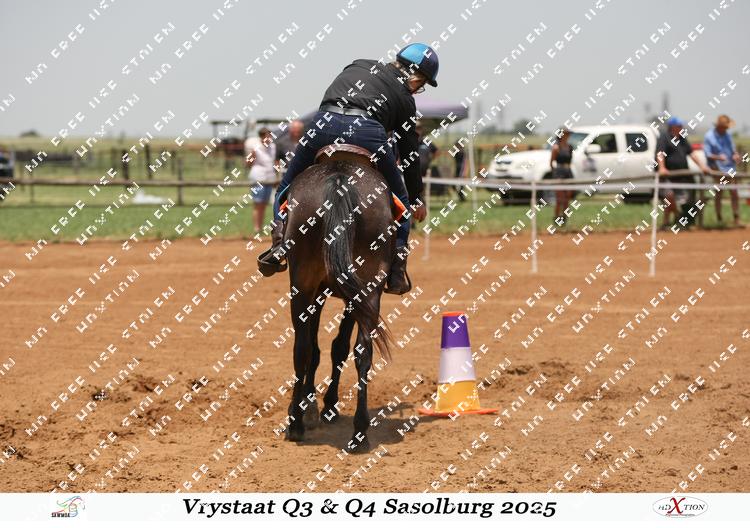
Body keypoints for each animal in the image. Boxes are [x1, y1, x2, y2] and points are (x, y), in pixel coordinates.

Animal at [279, 144, 400, 453]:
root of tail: (339, 180)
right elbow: (338, 347)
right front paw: (321, 405)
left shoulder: (320, 292)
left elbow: (325, 348)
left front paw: (316, 405)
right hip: (366, 288)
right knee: (361, 351)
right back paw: (359, 432)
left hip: (305, 286)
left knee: (303, 348)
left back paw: (297, 424)